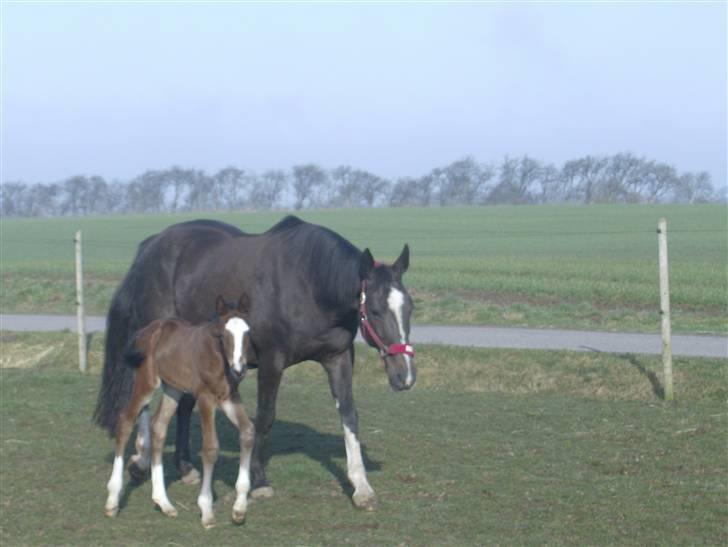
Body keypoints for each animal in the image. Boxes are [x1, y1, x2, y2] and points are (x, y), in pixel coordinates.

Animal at [104, 296, 255, 532]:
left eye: (247, 333)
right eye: (223, 335)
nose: (239, 370)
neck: (217, 358)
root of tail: (145, 331)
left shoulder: (230, 397)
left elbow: (248, 432)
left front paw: (239, 509)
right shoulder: (205, 398)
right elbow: (210, 448)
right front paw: (206, 509)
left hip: (172, 389)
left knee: (158, 428)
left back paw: (163, 502)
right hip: (146, 383)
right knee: (125, 421)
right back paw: (112, 501)